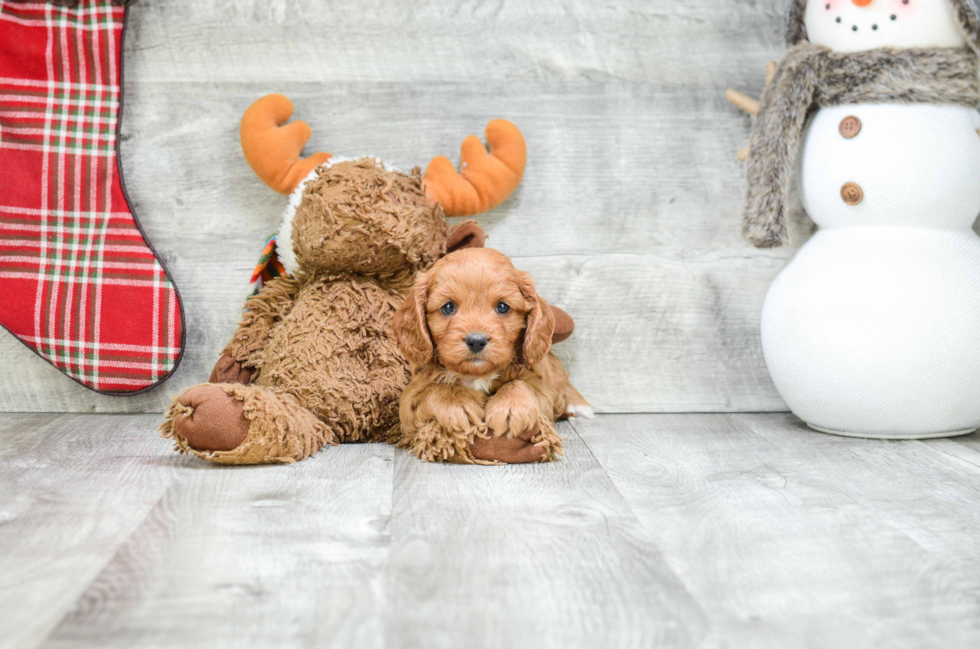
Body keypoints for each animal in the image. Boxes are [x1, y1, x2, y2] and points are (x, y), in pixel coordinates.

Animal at [394, 246, 592, 464]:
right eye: (448, 307)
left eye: (502, 306)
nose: (476, 341)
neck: (477, 375)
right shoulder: (408, 402)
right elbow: (435, 389)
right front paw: (457, 404)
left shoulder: (541, 390)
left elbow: (521, 384)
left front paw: (510, 407)